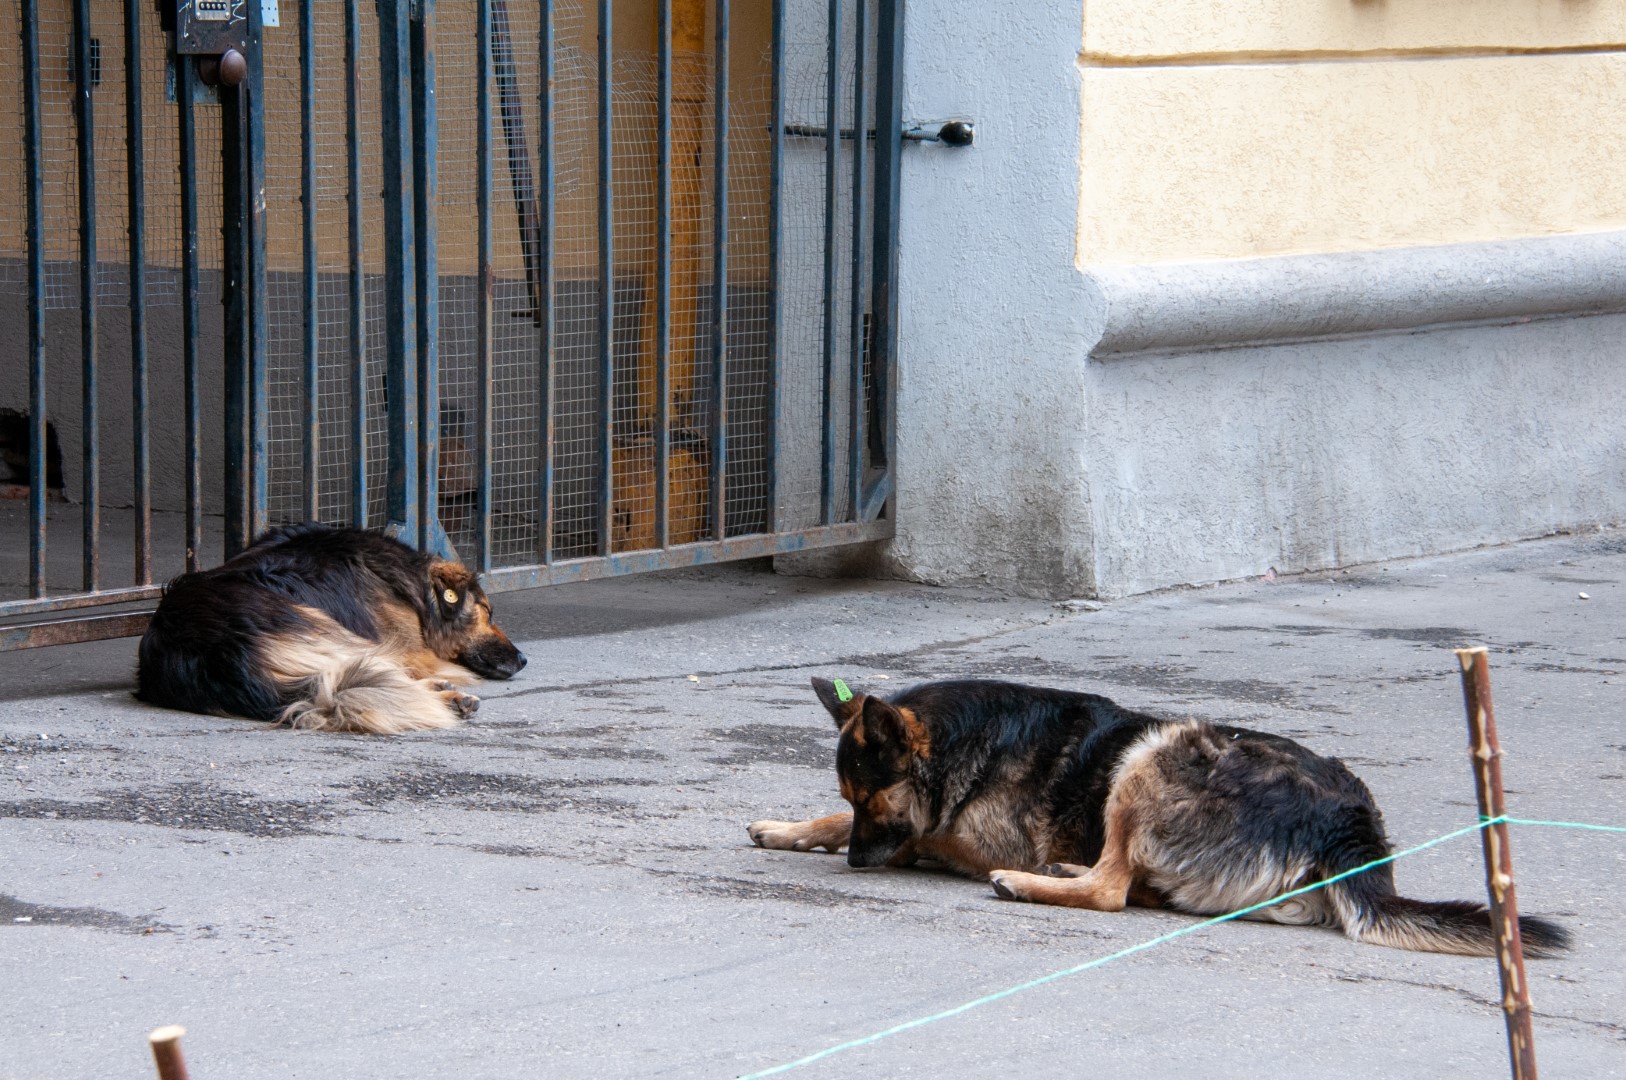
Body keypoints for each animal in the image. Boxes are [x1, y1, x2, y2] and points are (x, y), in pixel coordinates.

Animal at [751, 679, 1573, 956]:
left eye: (872, 800)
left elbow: (922, 836)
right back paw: (1066, 868)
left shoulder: (958, 833)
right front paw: (789, 830)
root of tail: (1350, 826)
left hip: (1156, 749)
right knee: (1135, 884)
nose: (858, 865)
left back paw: (1030, 881)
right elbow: (825, 821)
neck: (965, 740)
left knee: (1113, 889)